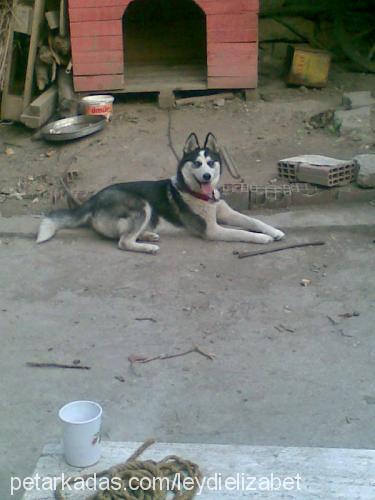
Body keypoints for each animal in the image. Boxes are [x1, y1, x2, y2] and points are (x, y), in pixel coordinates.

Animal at [37, 133, 284, 254]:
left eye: (211, 163)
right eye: (197, 164)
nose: (206, 176)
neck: (197, 193)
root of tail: (92, 199)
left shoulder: (226, 213)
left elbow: (253, 220)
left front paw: (274, 231)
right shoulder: (212, 230)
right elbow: (242, 232)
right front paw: (263, 238)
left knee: (125, 235)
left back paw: (148, 235)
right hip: (141, 205)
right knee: (124, 241)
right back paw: (148, 246)